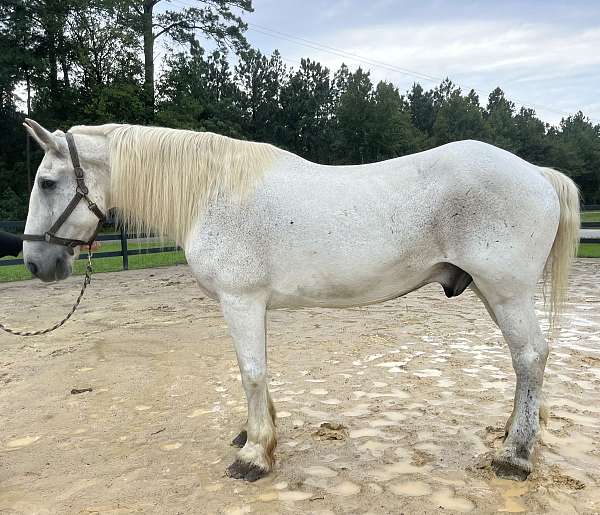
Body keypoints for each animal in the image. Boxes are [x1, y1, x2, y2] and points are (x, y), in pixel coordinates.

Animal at [21, 119, 580, 482]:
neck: (213, 192)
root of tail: (536, 173)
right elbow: (257, 370)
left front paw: (253, 458)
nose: (34, 263)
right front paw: (255, 436)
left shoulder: (240, 301)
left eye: (48, 182)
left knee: (530, 357)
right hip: (491, 292)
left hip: (506, 291)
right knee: (525, 361)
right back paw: (513, 434)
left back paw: (515, 456)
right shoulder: (251, 306)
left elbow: (251, 372)